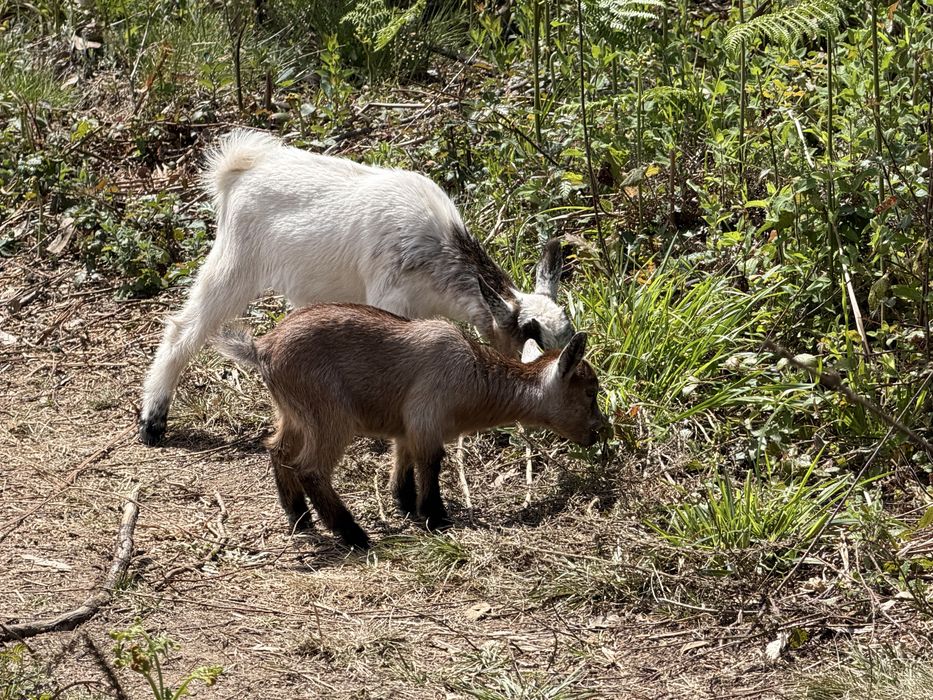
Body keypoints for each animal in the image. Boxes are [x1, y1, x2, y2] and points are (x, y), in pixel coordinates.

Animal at [139, 129, 573, 445]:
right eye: (531, 344)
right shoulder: (388, 297)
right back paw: (153, 421)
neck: (436, 249)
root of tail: (242, 168)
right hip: (235, 263)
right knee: (185, 328)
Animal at [213, 292, 607, 550]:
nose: (600, 431)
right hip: (329, 416)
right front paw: (435, 517)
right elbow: (431, 463)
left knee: (278, 451)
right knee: (310, 468)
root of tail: (262, 349)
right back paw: (354, 535)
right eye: (591, 392)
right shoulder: (426, 418)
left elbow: (403, 462)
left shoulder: (406, 427)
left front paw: (405, 504)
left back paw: (300, 520)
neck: (475, 377)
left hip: (293, 414)